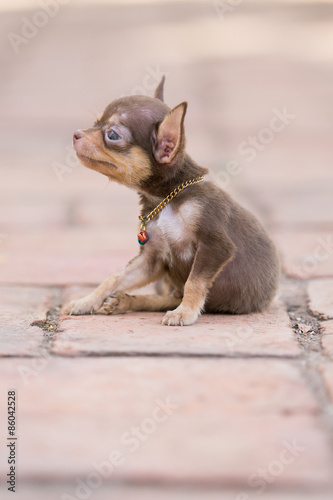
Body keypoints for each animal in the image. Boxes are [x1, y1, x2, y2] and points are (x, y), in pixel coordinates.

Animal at [63, 76, 280, 326]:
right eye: (94, 122)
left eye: (113, 135)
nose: (76, 134)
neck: (166, 201)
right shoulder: (152, 259)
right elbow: (114, 278)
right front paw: (86, 301)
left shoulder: (215, 246)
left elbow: (193, 282)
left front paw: (185, 312)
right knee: (169, 296)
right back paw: (126, 301)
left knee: (178, 295)